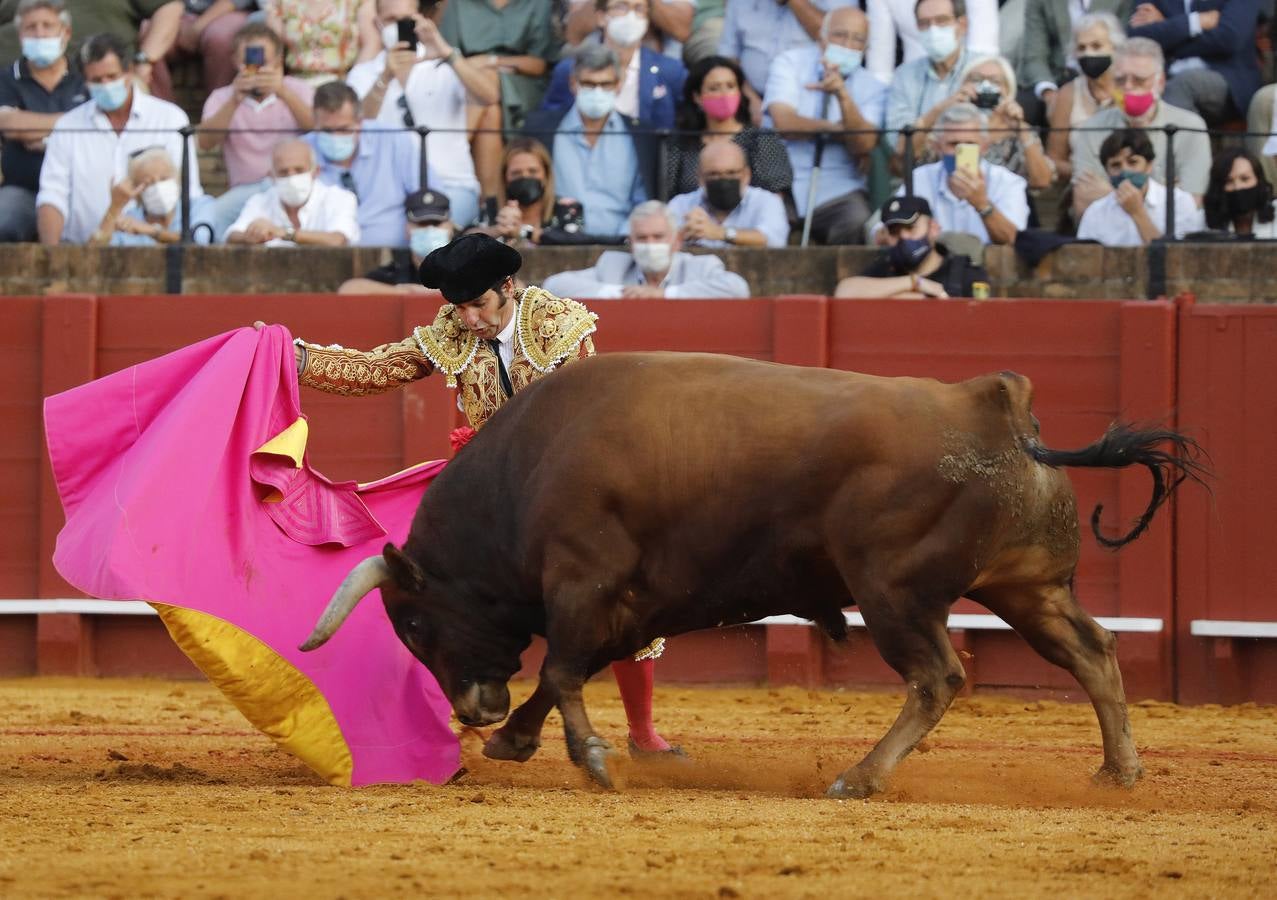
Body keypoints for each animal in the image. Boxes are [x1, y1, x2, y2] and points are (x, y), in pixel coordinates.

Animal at [301, 354, 1205, 796]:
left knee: (938, 678)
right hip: (1026, 587)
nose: (471, 708)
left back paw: (858, 778)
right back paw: (1119, 772)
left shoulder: (584, 582)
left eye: (416, 622)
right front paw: (517, 741)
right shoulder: (636, 602)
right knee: (1092, 654)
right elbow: (572, 671)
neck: (523, 471)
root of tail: (998, 405)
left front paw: (588, 758)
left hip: (893, 593)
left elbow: (560, 669)